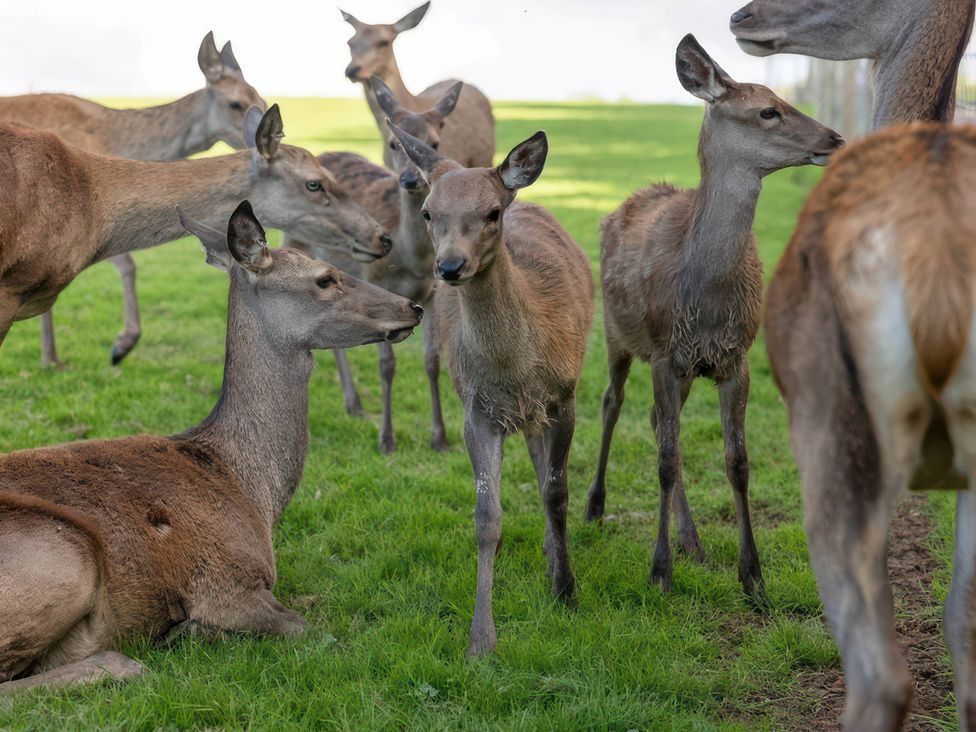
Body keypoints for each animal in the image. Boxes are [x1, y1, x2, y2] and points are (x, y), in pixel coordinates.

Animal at [0, 32, 267, 367]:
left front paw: (51, 356)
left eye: (262, 98)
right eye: (235, 103)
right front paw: (115, 346)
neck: (112, 143)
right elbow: (127, 264)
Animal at [0, 200, 422, 696]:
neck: (250, 487)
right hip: (63, 556)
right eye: (324, 278)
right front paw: (190, 629)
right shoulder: (223, 582)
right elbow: (302, 624)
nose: (413, 307)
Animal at [282, 77, 461, 453]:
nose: (410, 180)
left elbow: (432, 361)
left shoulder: (432, 291)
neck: (410, 261)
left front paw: (439, 438)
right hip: (297, 246)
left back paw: (354, 405)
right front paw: (387, 439)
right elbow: (386, 364)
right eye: (394, 142)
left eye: (434, 143)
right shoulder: (379, 283)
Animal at [388, 122, 595, 657]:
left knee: (546, 473)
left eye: (492, 212)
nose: (450, 267)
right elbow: (486, 518)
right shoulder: (477, 409)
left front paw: (566, 590)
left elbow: (557, 493)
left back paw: (553, 555)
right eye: (428, 212)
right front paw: (481, 638)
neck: (514, 370)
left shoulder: (564, 397)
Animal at [582, 35, 844, 604]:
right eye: (768, 111)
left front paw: (754, 577)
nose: (834, 138)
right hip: (616, 332)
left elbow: (737, 462)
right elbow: (663, 461)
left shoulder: (735, 358)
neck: (706, 299)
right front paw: (659, 573)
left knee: (658, 421)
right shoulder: (663, 352)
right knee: (613, 404)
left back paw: (692, 541)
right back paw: (594, 506)